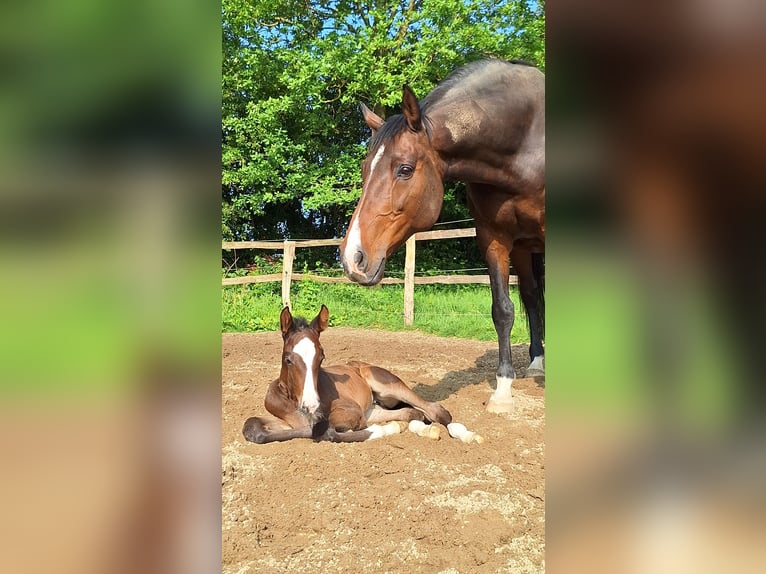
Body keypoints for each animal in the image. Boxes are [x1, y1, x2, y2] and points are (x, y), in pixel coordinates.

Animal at [243, 306, 476, 446]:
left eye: (321, 357)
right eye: (288, 359)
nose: (310, 405)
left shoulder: (350, 411)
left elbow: (329, 429)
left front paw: (383, 430)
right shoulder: (289, 421)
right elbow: (252, 427)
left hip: (387, 383)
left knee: (435, 410)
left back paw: (464, 434)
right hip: (375, 408)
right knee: (414, 413)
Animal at [342, 60, 544, 416]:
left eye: (405, 169)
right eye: (365, 170)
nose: (353, 258)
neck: (524, 146)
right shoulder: (493, 238)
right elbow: (503, 310)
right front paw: (503, 390)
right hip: (523, 248)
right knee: (533, 298)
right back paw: (537, 362)